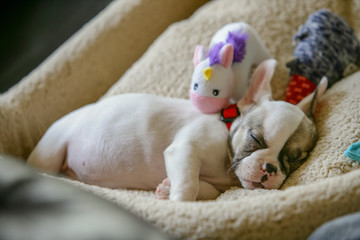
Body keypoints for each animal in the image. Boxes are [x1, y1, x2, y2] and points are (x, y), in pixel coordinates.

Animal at [27, 59, 326, 202]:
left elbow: (206, 189)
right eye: (255, 138)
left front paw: (166, 188)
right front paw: (179, 199)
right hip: (52, 149)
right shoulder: (185, 149)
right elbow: (189, 184)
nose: (270, 168)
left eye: (296, 160)